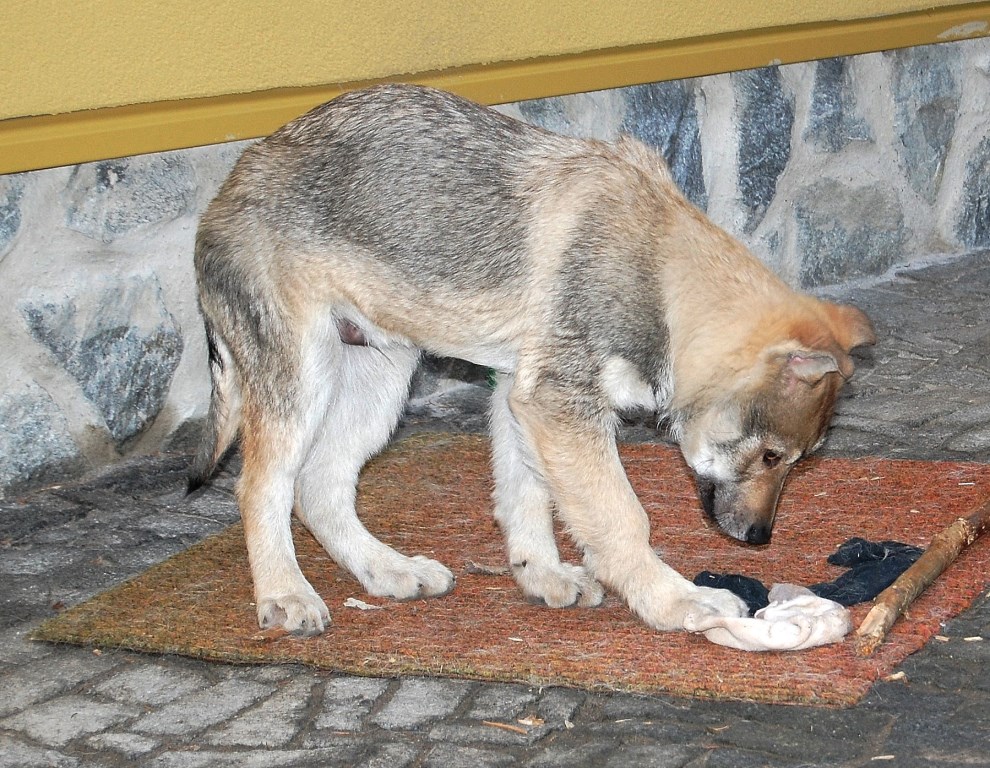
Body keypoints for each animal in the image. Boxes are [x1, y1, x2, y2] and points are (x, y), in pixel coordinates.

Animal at [190, 82, 880, 636]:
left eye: (796, 463)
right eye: (771, 457)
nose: (761, 540)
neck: (659, 276)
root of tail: (230, 183)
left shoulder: (520, 398)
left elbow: (527, 499)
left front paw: (541, 574)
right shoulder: (559, 406)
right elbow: (622, 521)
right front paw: (677, 603)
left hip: (381, 381)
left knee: (320, 486)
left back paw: (388, 570)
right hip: (302, 385)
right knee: (262, 487)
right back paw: (285, 594)